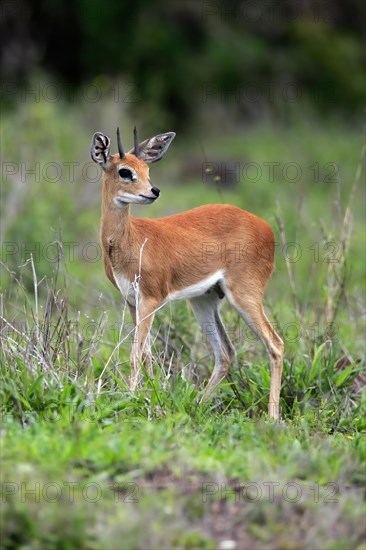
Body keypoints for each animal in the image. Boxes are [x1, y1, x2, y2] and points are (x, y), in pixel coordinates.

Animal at [91, 128, 284, 418]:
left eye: (147, 169)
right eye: (125, 171)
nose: (154, 191)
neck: (131, 241)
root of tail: (266, 228)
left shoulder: (151, 300)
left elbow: (135, 354)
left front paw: (131, 402)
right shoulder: (132, 302)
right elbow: (146, 353)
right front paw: (150, 398)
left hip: (244, 295)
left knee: (275, 344)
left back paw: (272, 418)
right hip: (204, 300)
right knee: (225, 352)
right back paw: (198, 406)